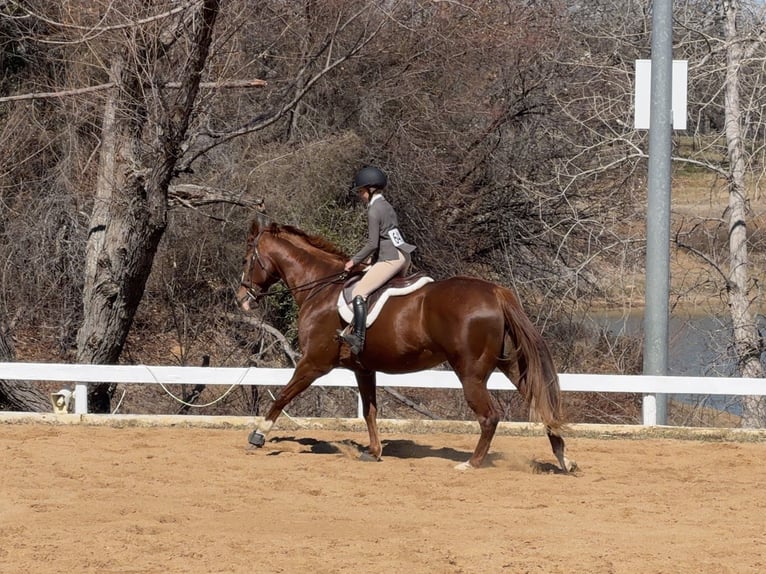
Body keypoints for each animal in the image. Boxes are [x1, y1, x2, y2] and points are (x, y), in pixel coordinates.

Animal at [236, 212, 573, 472]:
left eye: (247, 259)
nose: (242, 300)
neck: (321, 287)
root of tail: (495, 292)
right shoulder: (363, 368)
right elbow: (370, 411)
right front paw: (373, 452)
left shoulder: (314, 362)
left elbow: (282, 395)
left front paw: (258, 436)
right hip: (511, 365)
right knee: (539, 400)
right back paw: (563, 459)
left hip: (470, 373)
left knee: (490, 416)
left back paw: (472, 464)